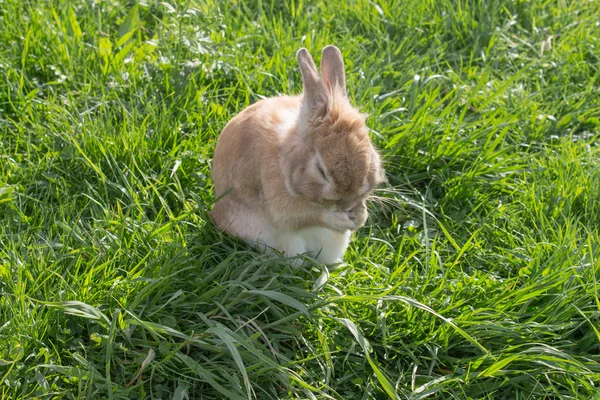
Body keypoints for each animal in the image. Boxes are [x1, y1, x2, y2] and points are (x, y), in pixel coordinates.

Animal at [209, 45, 382, 264]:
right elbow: (302, 216)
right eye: (321, 170)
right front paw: (339, 218)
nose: (347, 202)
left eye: (370, 157)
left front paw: (361, 215)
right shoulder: (280, 204)